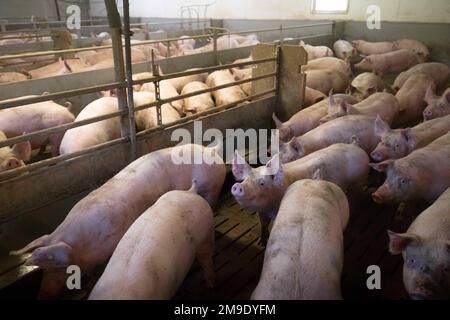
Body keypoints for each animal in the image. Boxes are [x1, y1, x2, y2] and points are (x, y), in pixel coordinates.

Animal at [11, 144, 225, 298]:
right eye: (42, 271)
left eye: (57, 267)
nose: (41, 295)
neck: (84, 245)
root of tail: (211, 150)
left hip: (212, 188)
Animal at [232, 144, 370, 244]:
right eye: (244, 180)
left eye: (262, 183)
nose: (238, 186)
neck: (269, 208)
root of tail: (357, 148)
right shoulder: (262, 213)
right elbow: (263, 225)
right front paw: (261, 243)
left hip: (359, 181)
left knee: (355, 197)